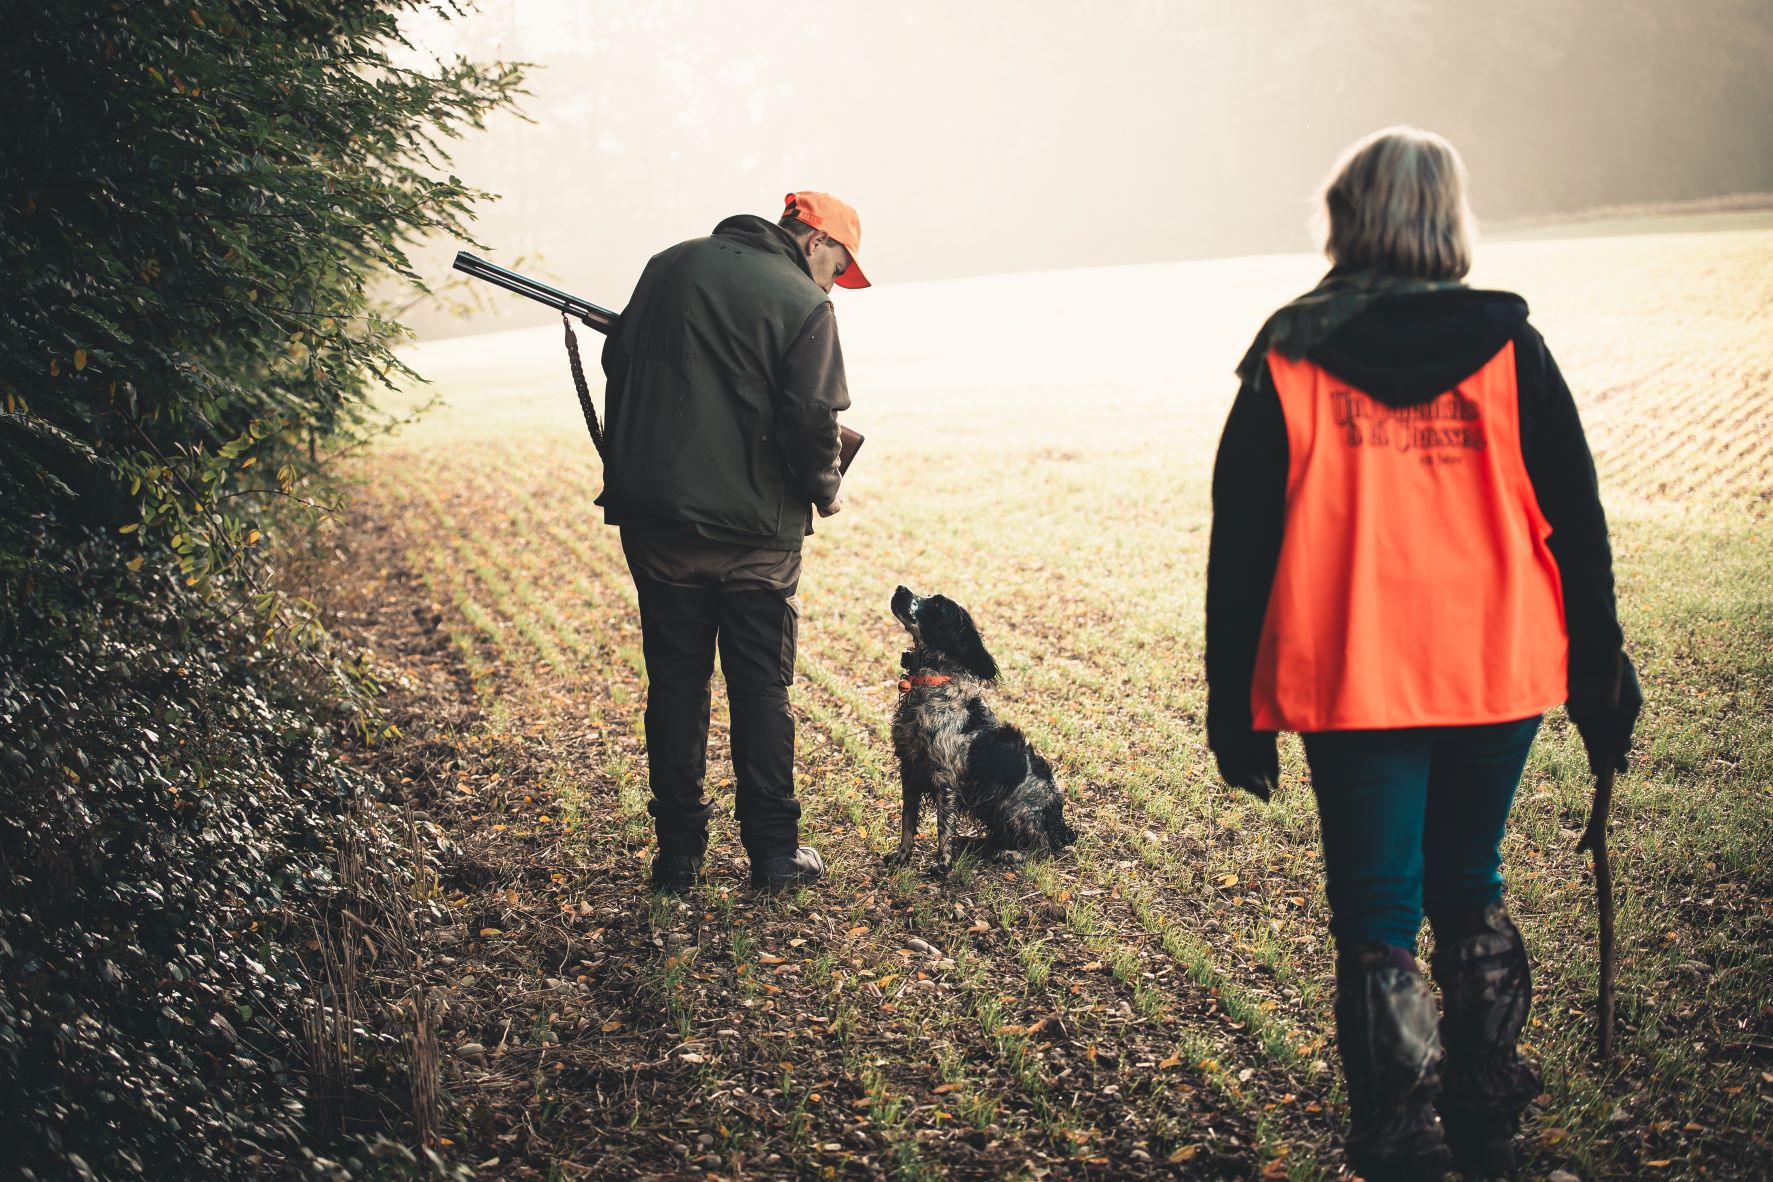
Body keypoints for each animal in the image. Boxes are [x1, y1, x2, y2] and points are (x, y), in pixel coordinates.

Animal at [882, 584, 1070, 878]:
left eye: (937, 605)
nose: (901, 588)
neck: (931, 684)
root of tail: (1058, 819)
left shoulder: (945, 779)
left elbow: (943, 827)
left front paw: (942, 866)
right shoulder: (909, 768)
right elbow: (907, 820)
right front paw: (902, 857)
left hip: (1013, 808)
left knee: (1042, 847)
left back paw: (1010, 854)